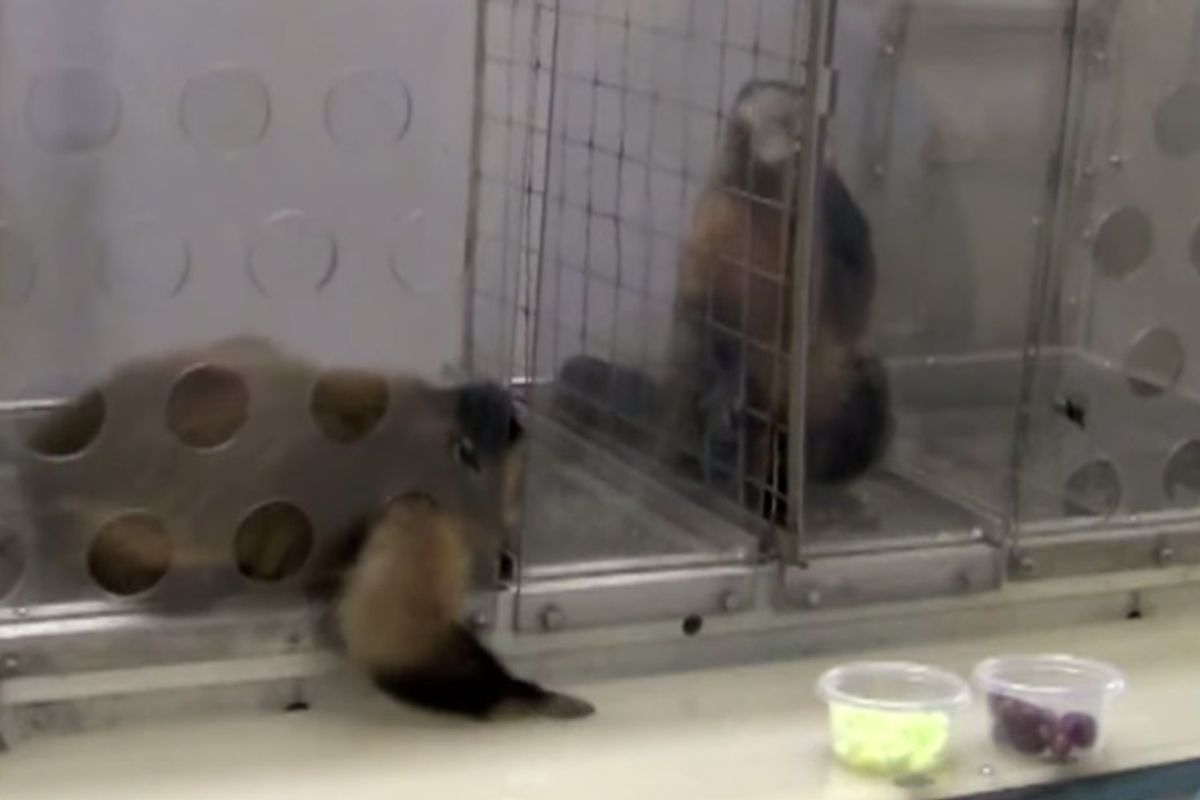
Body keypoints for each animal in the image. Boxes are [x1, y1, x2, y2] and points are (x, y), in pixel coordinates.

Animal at [553, 79, 892, 524]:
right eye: (790, 123)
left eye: (813, 127)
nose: (814, 143)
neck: (763, 199)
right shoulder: (713, 216)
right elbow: (701, 307)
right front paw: (729, 382)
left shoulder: (822, 216)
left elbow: (844, 294)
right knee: (701, 366)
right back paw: (722, 459)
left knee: (862, 389)